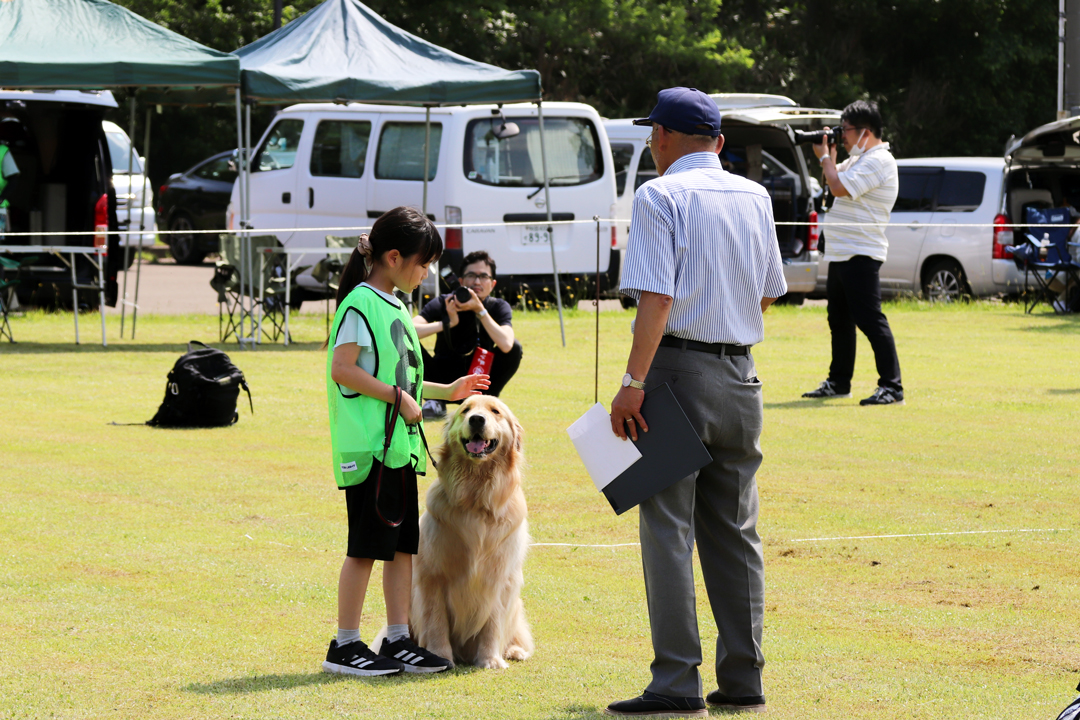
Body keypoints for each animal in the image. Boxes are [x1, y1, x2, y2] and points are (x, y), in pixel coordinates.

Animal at [410, 395, 533, 669]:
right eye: (465, 410)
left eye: (495, 411)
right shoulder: (432, 576)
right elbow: (436, 622)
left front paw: (491, 660)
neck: (476, 498)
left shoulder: (499, 577)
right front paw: (440, 656)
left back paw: (514, 651)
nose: (477, 419)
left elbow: (493, 623)